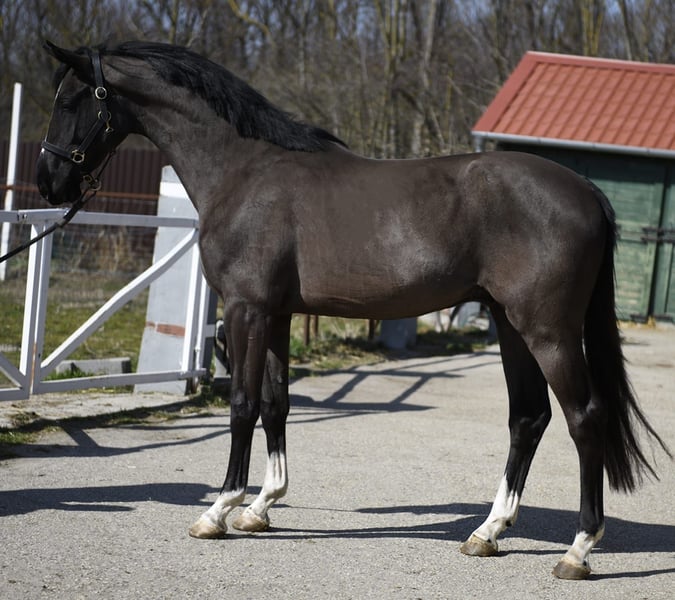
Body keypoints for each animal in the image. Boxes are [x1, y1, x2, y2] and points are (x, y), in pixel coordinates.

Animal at [36, 41, 669, 580]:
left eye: (69, 101)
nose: (49, 183)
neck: (245, 171)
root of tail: (587, 191)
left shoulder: (246, 309)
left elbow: (241, 405)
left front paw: (218, 511)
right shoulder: (278, 315)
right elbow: (276, 404)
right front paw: (261, 507)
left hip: (548, 331)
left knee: (584, 418)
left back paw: (578, 550)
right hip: (510, 325)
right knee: (528, 418)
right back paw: (488, 532)